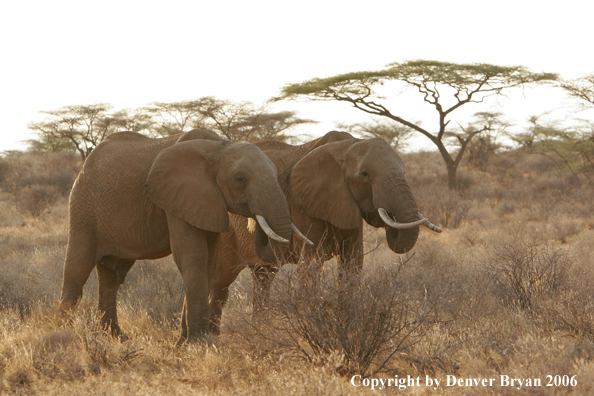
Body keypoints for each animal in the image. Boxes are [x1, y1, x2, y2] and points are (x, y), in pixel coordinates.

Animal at [57, 130, 308, 344]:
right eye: (240, 179)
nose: (254, 223)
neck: (220, 147)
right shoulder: (177, 198)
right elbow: (192, 256)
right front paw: (199, 342)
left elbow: (209, 261)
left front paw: (186, 341)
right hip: (83, 206)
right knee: (78, 269)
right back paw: (64, 336)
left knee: (110, 277)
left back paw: (117, 338)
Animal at [209, 131, 440, 334]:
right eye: (365, 174)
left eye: (404, 171)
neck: (345, 148)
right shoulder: (306, 203)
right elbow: (311, 264)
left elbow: (353, 263)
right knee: (219, 282)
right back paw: (209, 338)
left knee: (263, 278)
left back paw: (261, 329)